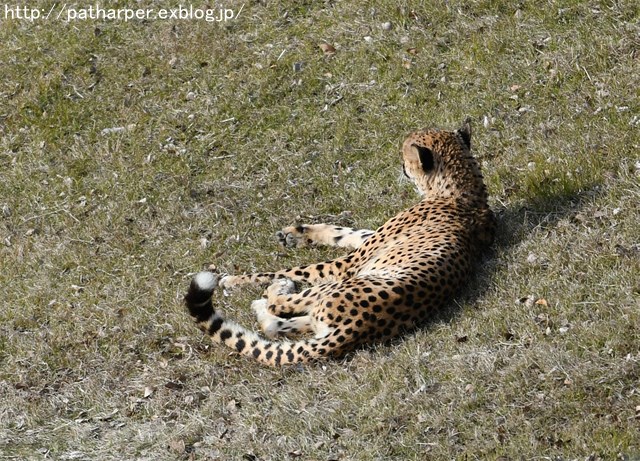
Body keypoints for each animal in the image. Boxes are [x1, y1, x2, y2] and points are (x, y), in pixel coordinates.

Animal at [184, 120, 496, 364]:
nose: (398, 162)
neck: (460, 190)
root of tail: (357, 330)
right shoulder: (366, 244)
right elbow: (344, 232)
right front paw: (297, 233)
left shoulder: (348, 265)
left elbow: (292, 269)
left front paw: (235, 279)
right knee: (278, 326)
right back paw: (263, 309)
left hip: (337, 286)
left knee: (282, 303)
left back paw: (274, 291)